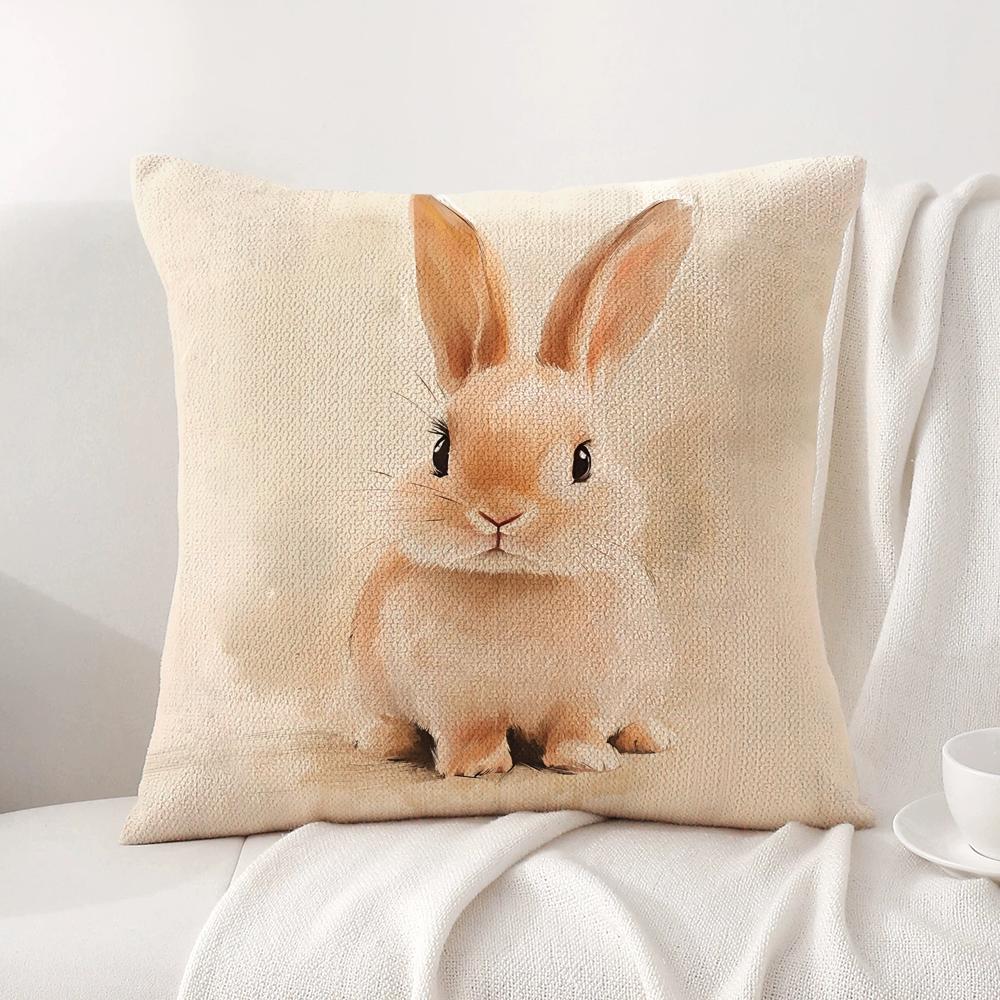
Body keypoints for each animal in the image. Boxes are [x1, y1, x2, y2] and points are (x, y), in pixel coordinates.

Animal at [348, 193, 693, 777]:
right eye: (439, 452)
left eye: (583, 461)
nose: (499, 513)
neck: (514, 579)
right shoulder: (455, 698)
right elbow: (470, 732)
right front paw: (478, 767)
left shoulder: (591, 693)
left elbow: (578, 729)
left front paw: (587, 763)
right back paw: (380, 743)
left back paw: (650, 737)